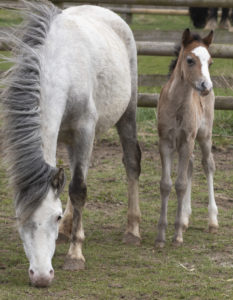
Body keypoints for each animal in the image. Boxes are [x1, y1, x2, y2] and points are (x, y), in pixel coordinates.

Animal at [0, 1, 141, 288]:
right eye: (20, 218)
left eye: (52, 216)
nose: (41, 276)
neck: (58, 67)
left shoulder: (84, 130)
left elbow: (78, 190)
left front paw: (75, 255)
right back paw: (69, 228)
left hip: (127, 114)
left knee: (131, 162)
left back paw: (132, 230)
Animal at [156, 29, 219, 247]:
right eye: (190, 60)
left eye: (210, 62)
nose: (206, 86)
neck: (177, 106)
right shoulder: (165, 142)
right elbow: (166, 184)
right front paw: (161, 236)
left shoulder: (187, 141)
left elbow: (181, 184)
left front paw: (177, 236)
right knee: (191, 165)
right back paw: (184, 218)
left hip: (204, 135)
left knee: (207, 164)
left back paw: (212, 221)